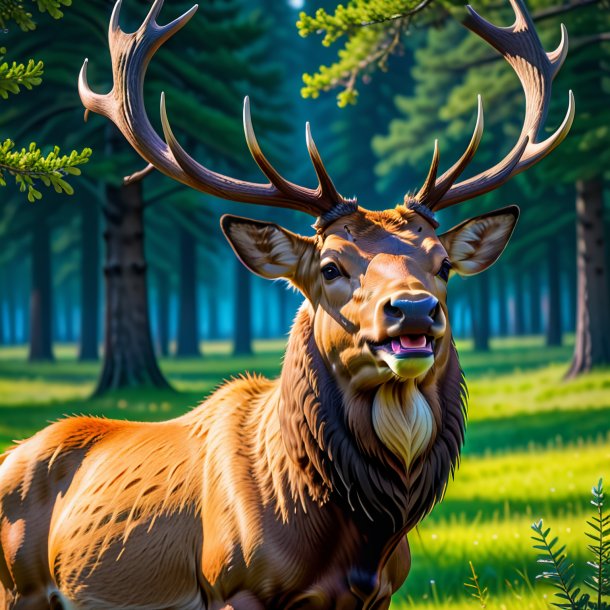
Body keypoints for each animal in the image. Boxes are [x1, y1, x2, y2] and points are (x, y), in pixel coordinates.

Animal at [0, 1, 572, 608]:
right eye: (330, 267)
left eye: (442, 265)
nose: (415, 311)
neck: (356, 545)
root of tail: (10, 453)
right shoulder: (234, 581)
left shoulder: (385, 592)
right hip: (19, 585)